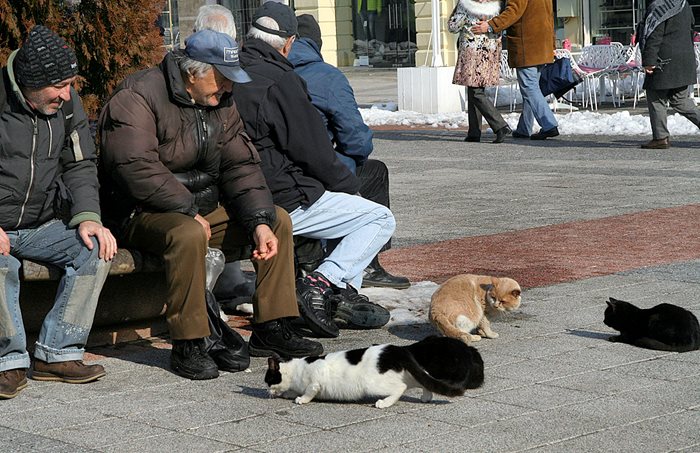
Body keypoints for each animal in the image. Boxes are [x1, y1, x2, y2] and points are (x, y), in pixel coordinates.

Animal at [262, 334, 482, 408]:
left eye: (267, 380)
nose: (266, 391)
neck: (296, 368)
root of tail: (396, 349)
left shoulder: (315, 381)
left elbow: (309, 391)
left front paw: (300, 399)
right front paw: (289, 393)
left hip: (374, 383)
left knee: (400, 388)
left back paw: (384, 403)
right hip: (408, 374)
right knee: (422, 380)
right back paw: (426, 397)